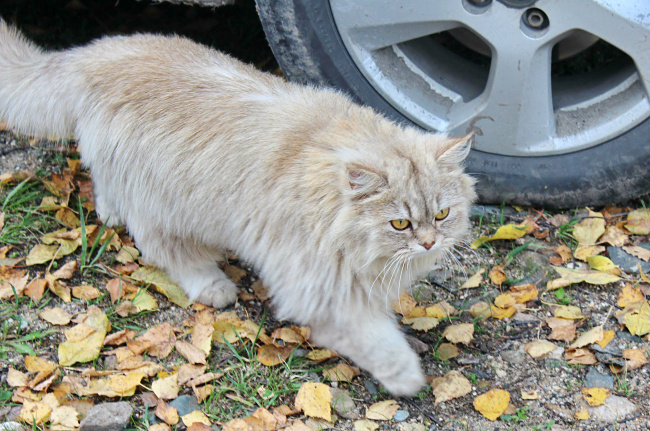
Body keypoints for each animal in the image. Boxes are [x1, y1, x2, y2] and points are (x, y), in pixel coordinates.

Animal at [0, 22, 476, 396]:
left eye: (442, 215)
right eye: (400, 223)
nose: (429, 243)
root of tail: (100, 50)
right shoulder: (319, 291)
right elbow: (378, 341)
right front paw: (407, 376)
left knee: (102, 179)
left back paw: (110, 210)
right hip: (164, 205)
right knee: (171, 253)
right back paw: (213, 285)